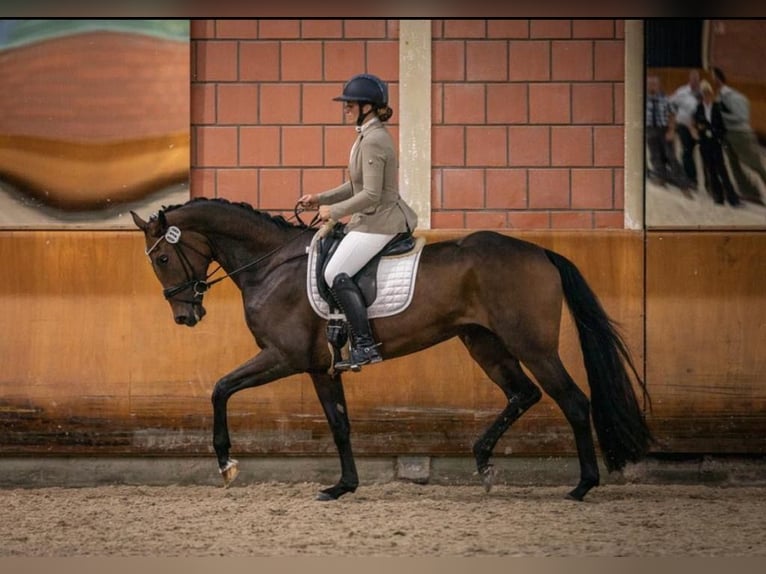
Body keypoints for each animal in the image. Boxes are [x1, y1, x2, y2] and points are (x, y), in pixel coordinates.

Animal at [132, 199, 656, 504]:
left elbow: (220, 389)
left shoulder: (284, 358)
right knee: (523, 395)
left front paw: (226, 464)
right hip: (482, 342)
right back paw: (483, 461)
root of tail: (540, 251)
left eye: (164, 258)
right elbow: (339, 424)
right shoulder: (321, 368)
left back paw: (582, 485)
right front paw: (342, 486)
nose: (185, 317)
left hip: (532, 344)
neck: (272, 266)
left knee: (573, 401)